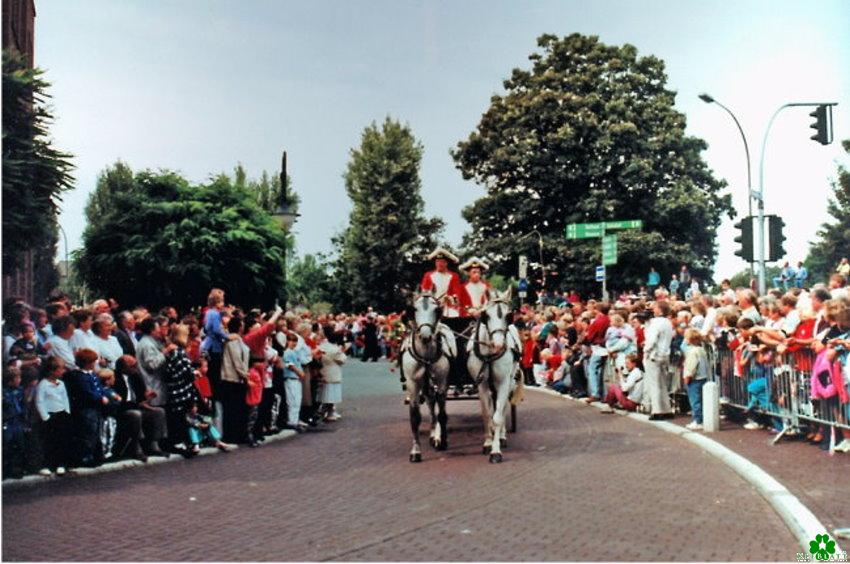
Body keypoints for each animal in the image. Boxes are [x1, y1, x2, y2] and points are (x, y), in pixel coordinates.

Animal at [400, 290, 458, 462]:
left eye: (436, 310)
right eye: (414, 309)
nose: (426, 336)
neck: (426, 356)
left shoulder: (442, 381)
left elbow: (442, 414)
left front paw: (443, 441)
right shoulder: (413, 384)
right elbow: (415, 417)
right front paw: (415, 451)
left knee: (435, 404)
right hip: (425, 384)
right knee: (431, 403)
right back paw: (433, 434)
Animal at [468, 286, 520, 462]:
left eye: (508, 315)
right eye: (486, 315)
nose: (497, 345)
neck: (490, 355)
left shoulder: (503, 382)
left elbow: (497, 417)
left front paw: (496, 451)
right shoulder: (482, 384)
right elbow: (487, 414)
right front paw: (488, 443)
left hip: (510, 382)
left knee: (502, 408)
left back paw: (502, 437)